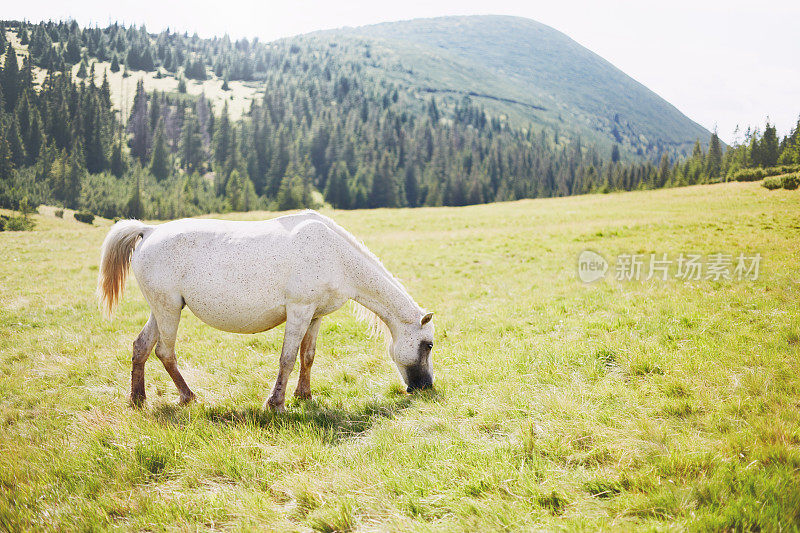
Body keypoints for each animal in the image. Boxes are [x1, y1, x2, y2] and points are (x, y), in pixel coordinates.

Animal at [98, 210, 438, 410]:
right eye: (428, 345)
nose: (426, 387)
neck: (336, 256)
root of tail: (150, 231)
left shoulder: (314, 316)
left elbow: (307, 356)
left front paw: (304, 395)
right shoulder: (299, 311)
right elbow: (287, 359)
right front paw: (276, 403)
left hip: (162, 309)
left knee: (141, 347)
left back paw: (138, 399)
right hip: (169, 310)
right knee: (164, 352)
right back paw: (188, 397)